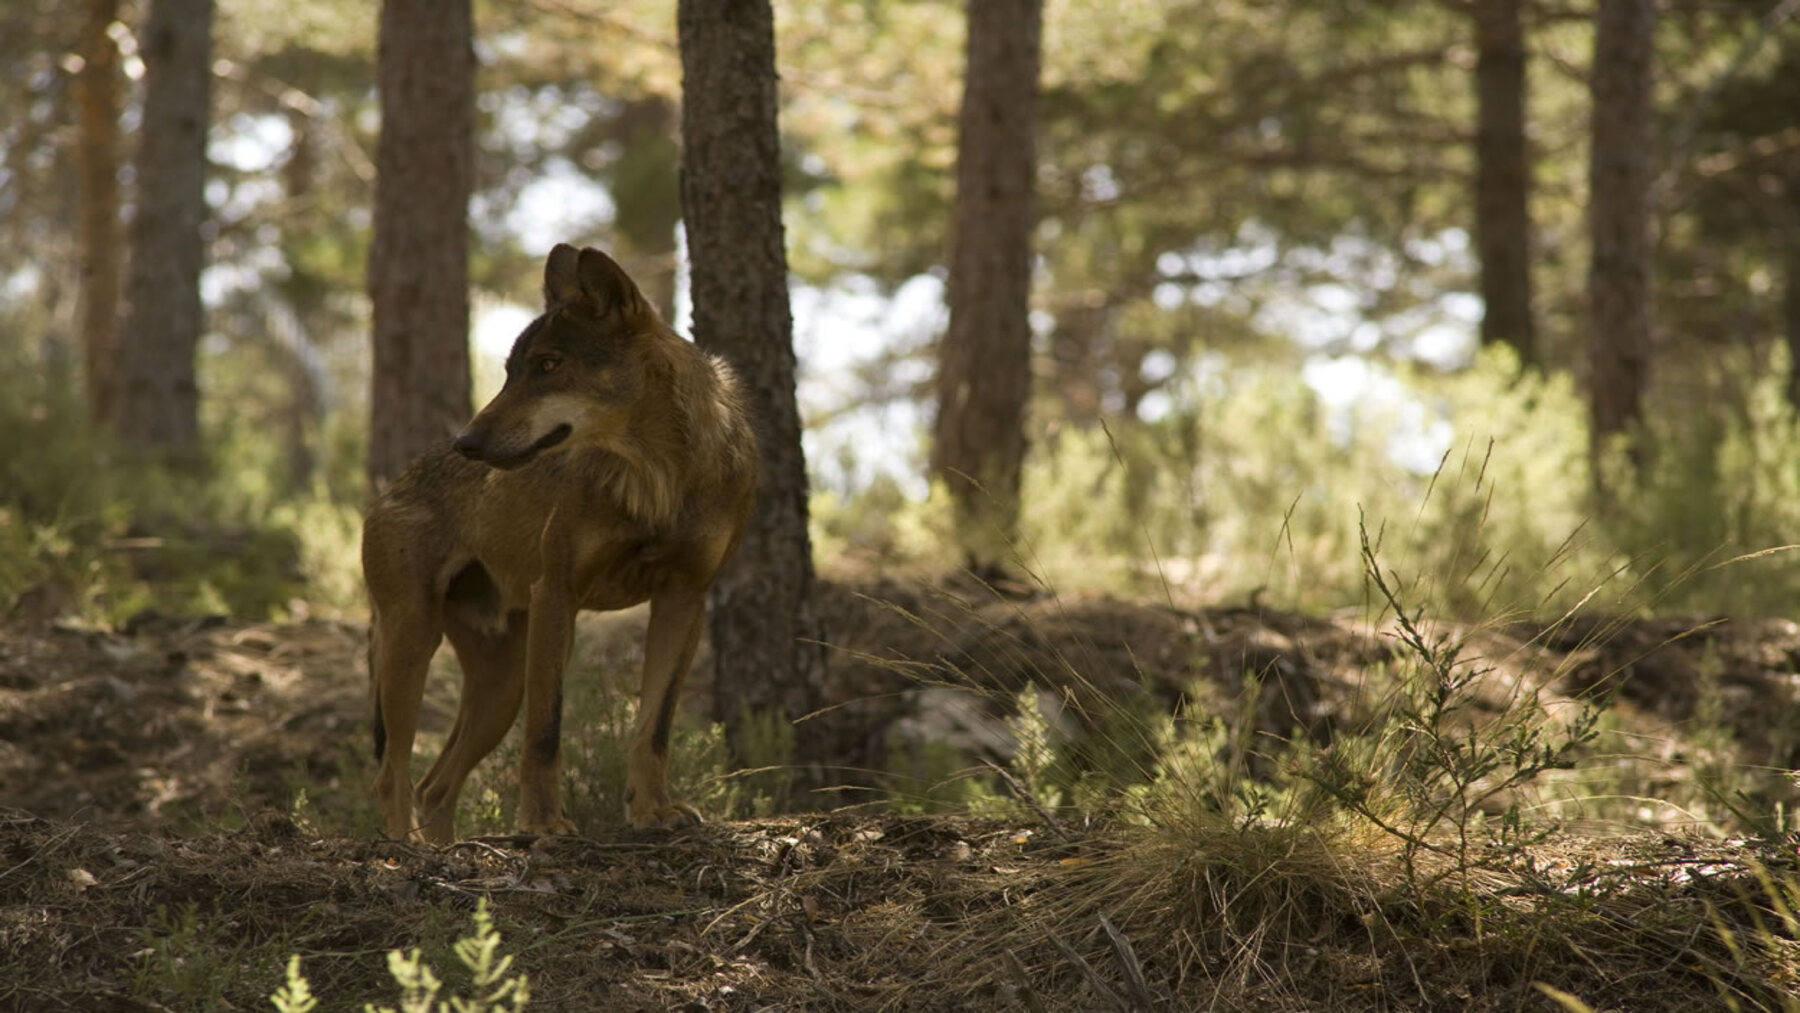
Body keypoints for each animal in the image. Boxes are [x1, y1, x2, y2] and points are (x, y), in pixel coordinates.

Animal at [363, 244, 757, 842]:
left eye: (548, 366)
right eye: (509, 373)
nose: (466, 444)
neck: (658, 479)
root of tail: (391, 485)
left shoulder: (684, 599)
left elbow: (654, 727)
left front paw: (653, 811)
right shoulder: (557, 593)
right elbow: (546, 733)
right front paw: (543, 823)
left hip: (501, 686)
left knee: (434, 785)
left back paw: (443, 850)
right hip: (416, 643)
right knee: (393, 774)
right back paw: (405, 850)